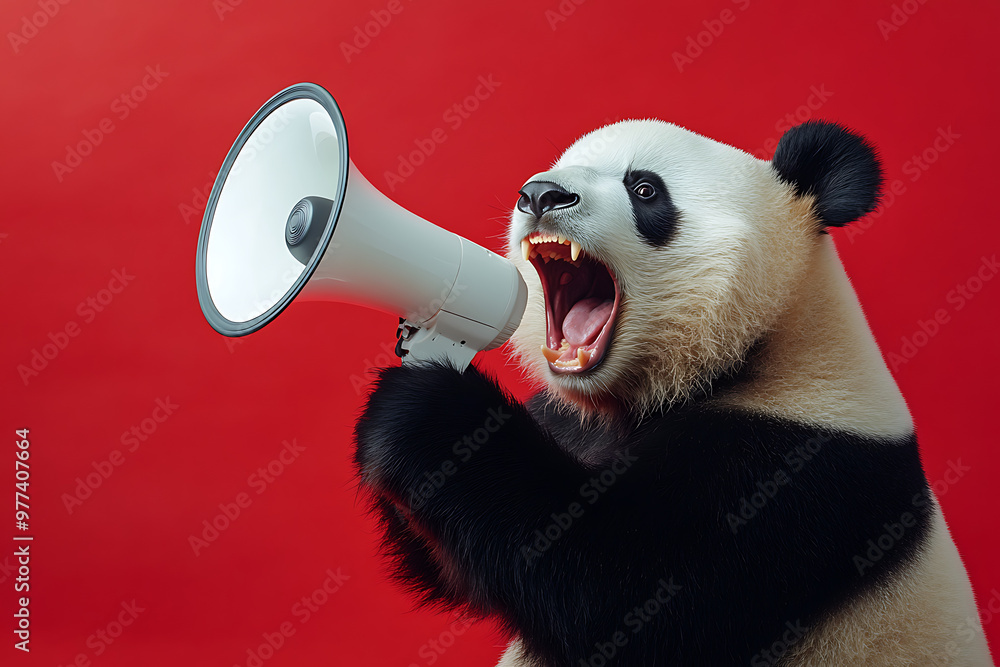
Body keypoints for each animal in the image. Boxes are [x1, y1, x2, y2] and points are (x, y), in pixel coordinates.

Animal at [354, 119, 994, 666]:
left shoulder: (796, 470)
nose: (540, 195)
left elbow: (615, 590)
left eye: (645, 189)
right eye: (553, 171)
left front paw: (421, 411)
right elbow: (463, 572)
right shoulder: (568, 419)